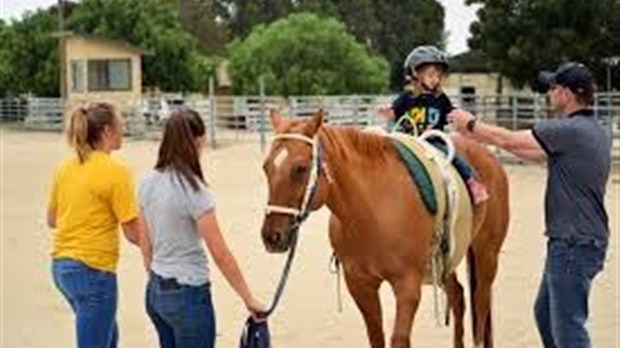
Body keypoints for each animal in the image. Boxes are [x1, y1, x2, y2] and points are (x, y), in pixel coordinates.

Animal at [262, 110, 508, 348]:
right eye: (266, 167)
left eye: (300, 168)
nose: (271, 236)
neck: (374, 209)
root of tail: (488, 155)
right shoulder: (360, 285)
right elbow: (376, 336)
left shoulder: (408, 285)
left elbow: (399, 339)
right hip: (444, 261)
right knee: (458, 296)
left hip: (486, 254)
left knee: (482, 304)